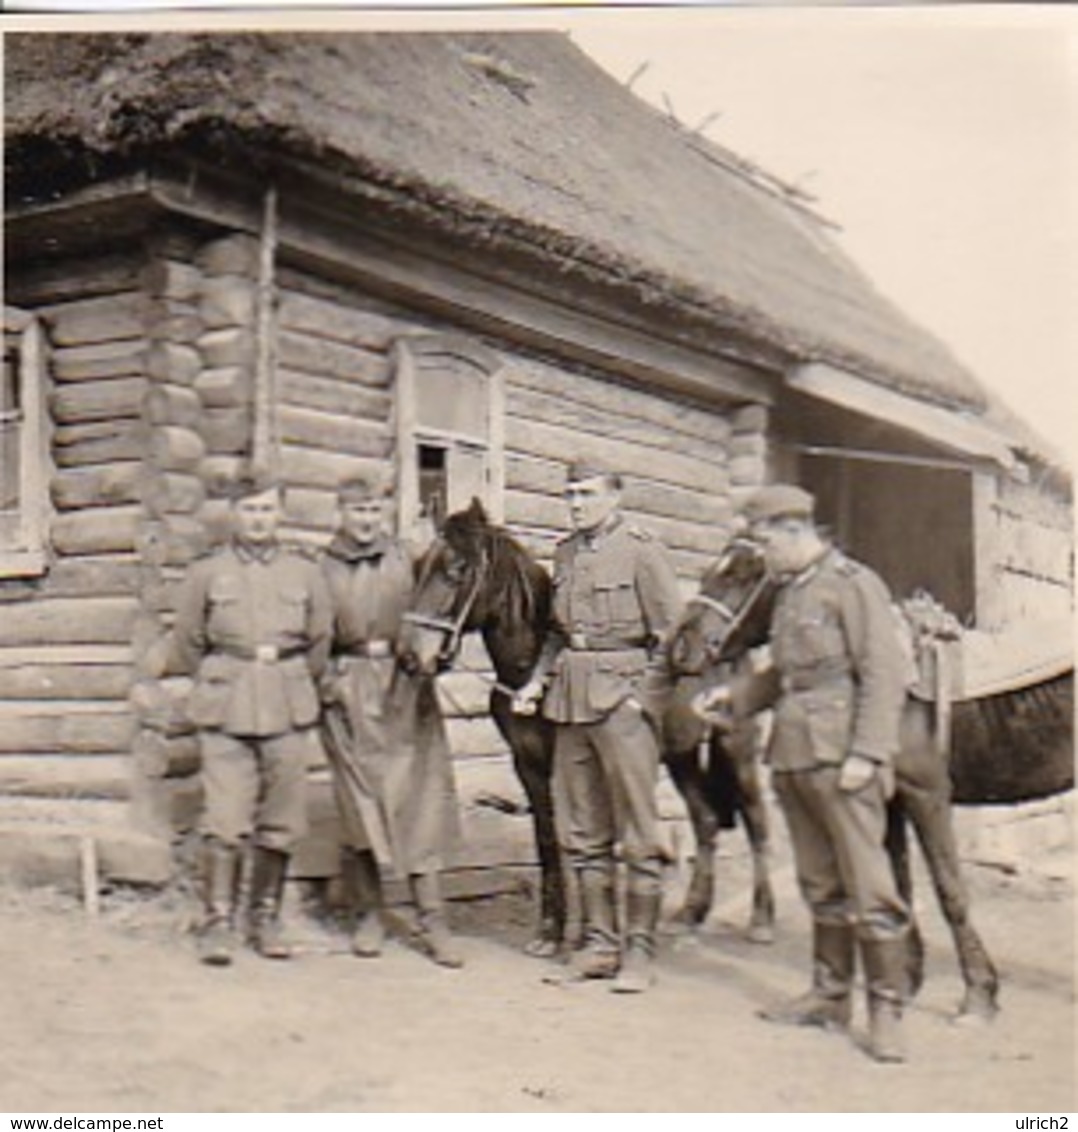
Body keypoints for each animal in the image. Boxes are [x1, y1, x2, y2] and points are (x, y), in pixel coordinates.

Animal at [670, 534, 1073, 1023]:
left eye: (739, 574)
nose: (681, 645)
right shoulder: (890, 799)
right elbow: (898, 883)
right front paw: (906, 981)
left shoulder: (926, 794)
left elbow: (950, 890)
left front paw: (979, 994)